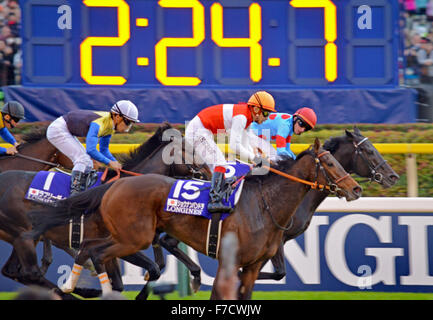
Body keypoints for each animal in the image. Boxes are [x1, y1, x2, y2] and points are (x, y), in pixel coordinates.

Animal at [0, 123, 209, 300]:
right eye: (191, 151)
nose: (209, 172)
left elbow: (121, 282)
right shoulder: (122, 243)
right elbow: (152, 269)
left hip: (21, 236)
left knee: (15, 272)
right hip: (25, 233)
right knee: (26, 273)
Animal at [28, 138, 362, 300]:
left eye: (338, 161)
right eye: (330, 163)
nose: (356, 188)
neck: (264, 205)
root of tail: (115, 184)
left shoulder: (252, 266)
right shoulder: (229, 261)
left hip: (125, 236)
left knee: (87, 250)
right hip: (132, 238)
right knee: (96, 253)